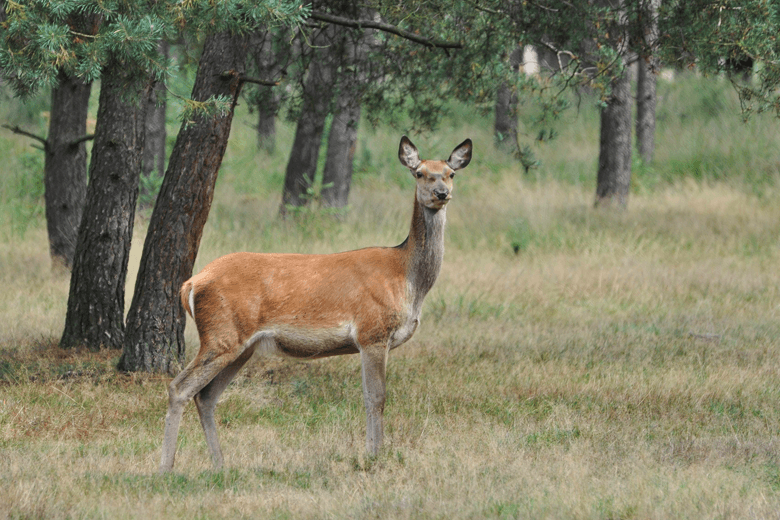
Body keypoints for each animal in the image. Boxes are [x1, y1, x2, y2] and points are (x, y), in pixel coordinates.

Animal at [158, 134, 470, 472]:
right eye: (420, 173)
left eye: (451, 173)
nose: (441, 193)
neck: (407, 278)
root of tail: (191, 284)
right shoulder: (372, 332)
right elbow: (375, 397)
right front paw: (373, 457)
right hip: (221, 334)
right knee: (180, 388)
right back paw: (166, 468)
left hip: (242, 345)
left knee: (206, 396)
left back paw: (220, 465)